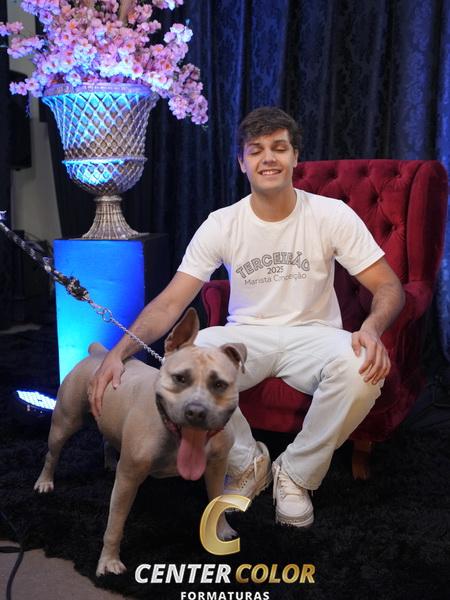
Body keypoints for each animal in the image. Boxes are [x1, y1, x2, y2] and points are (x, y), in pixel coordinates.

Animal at [34, 308, 246, 576]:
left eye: (219, 385)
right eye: (180, 379)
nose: (196, 412)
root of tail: (99, 353)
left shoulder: (217, 467)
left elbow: (217, 500)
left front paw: (222, 530)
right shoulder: (128, 479)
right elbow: (115, 525)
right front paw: (108, 561)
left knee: (108, 439)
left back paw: (109, 461)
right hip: (64, 423)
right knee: (52, 454)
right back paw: (45, 481)